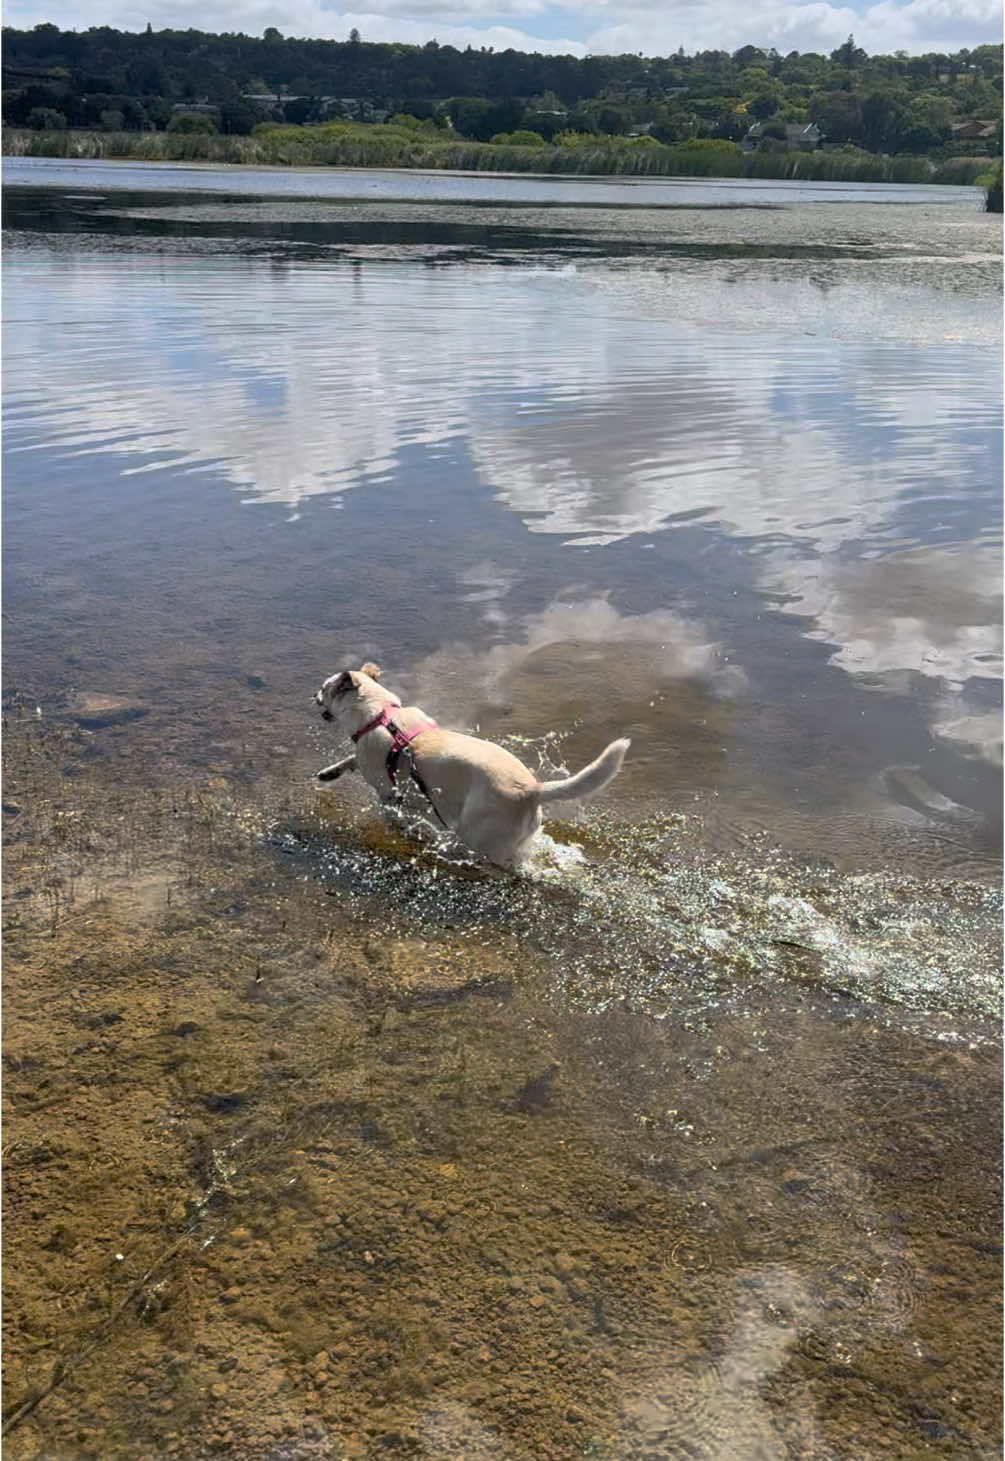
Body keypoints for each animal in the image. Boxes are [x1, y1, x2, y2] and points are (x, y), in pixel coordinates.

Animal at [312, 663, 628, 864]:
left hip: (478, 835)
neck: (381, 714)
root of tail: (533, 790)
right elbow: (349, 760)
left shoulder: (386, 789)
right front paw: (329, 772)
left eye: (324, 688)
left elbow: (383, 798)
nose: (312, 695)